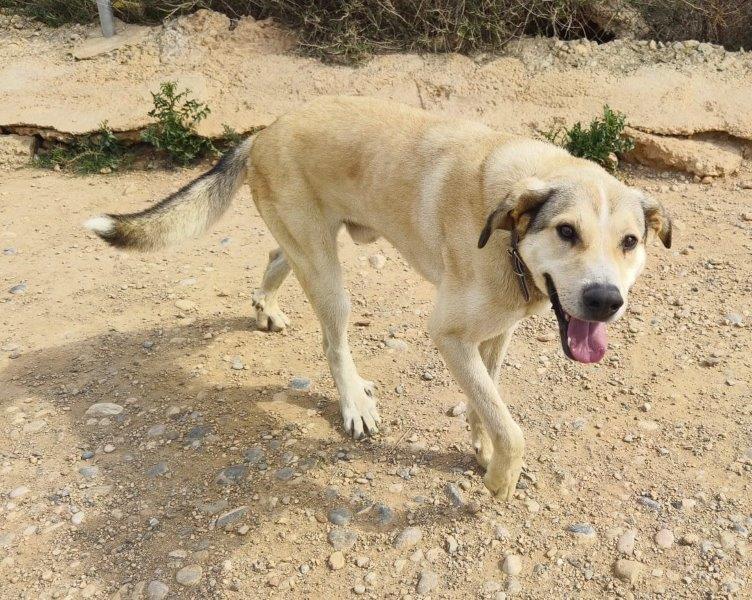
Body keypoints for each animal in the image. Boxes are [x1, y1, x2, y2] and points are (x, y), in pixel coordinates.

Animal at [86, 96, 671, 499]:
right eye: (567, 232)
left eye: (630, 242)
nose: (604, 300)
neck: (507, 234)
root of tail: (264, 131)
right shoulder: (448, 334)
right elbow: (511, 427)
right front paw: (500, 477)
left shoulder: (498, 329)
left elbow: (489, 398)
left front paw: (481, 445)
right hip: (328, 275)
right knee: (333, 342)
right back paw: (354, 403)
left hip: (309, 246)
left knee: (276, 258)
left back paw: (266, 308)